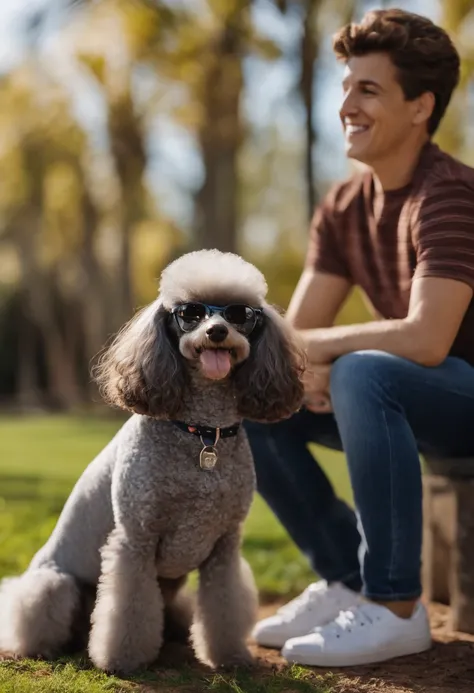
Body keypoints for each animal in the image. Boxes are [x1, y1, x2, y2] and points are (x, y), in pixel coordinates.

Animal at [0, 250, 304, 676]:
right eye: (189, 313)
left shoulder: (224, 548)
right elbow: (127, 609)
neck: (202, 431)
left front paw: (230, 658)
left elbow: (223, 607)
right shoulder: (135, 541)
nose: (217, 332)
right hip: (54, 586)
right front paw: (123, 660)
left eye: (239, 314)